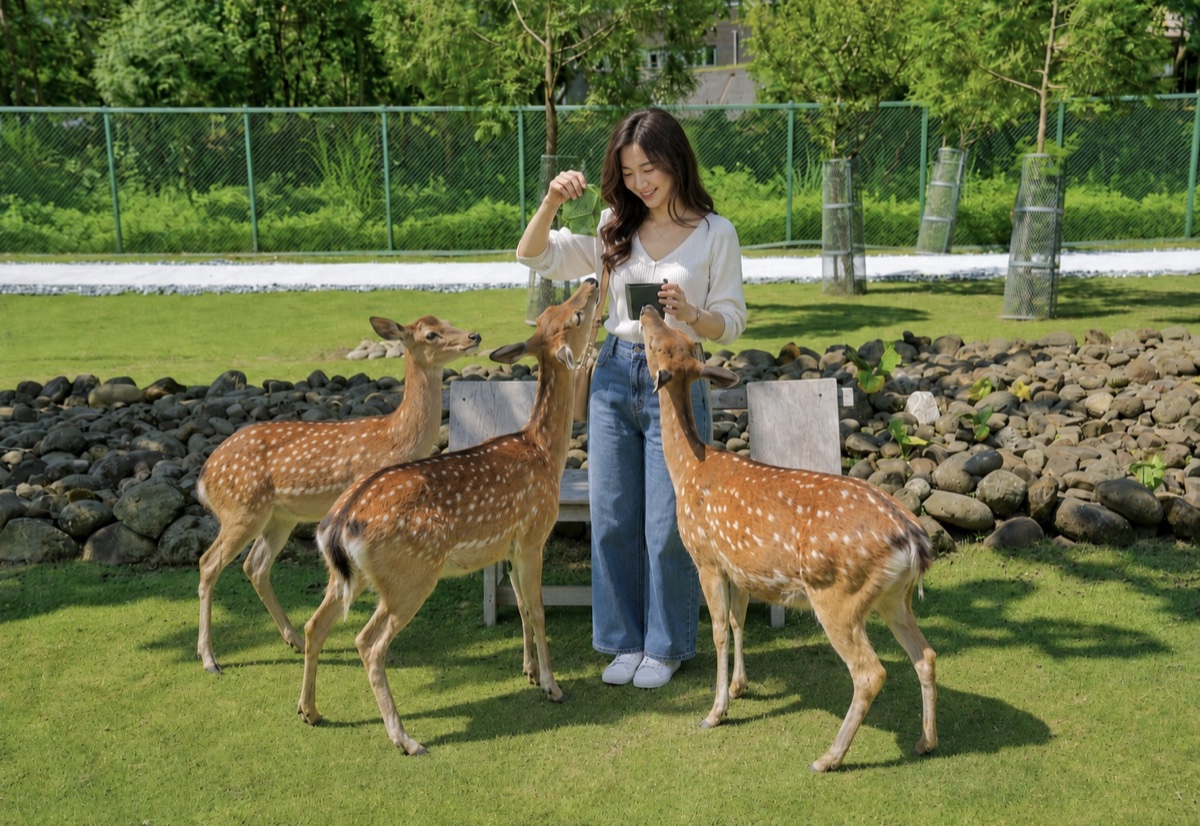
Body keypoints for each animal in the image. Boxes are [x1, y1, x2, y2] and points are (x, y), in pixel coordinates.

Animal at [195, 315, 482, 674]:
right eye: (431, 334)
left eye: (447, 320)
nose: (474, 335)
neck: (395, 439)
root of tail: (205, 476)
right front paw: (387, 653)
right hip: (241, 510)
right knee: (209, 563)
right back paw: (209, 658)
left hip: (279, 517)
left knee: (255, 566)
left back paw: (293, 639)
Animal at [296, 278, 599, 755]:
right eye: (575, 317)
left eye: (552, 312)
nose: (591, 281)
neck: (544, 454)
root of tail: (338, 524)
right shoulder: (533, 533)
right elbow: (538, 610)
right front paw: (553, 686)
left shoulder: (509, 545)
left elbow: (523, 608)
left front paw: (529, 671)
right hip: (410, 575)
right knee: (368, 643)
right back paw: (404, 738)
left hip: (348, 575)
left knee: (315, 624)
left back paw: (309, 711)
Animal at [639, 305, 938, 773]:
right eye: (678, 339)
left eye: (657, 343)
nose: (649, 307)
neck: (689, 470)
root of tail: (914, 542)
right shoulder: (740, 565)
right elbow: (739, 621)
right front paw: (740, 687)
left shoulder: (706, 557)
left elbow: (718, 631)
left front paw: (715, 712)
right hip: (895, 597)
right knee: (925, 655)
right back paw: (926, 741)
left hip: (837, 595)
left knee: (870, 672)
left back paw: (828, 757)